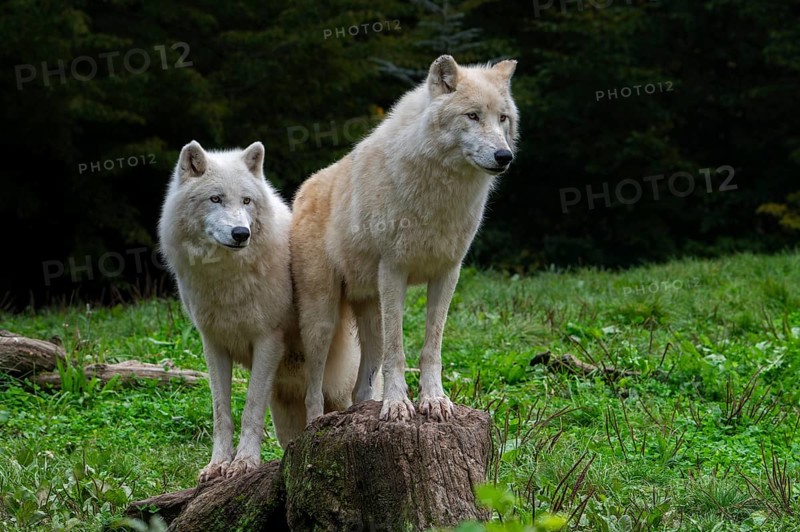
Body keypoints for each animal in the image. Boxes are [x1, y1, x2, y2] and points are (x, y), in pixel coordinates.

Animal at [159, 141, 359, 482]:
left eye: (246, 201)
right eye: (216, 199)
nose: (241, 233)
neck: (226, 279)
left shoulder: (267, 341)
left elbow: (251, 407)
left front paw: (244, 463)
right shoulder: (213, 345)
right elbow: (221, 411)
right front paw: (217, 465)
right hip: (284, 414)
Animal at [291, 55, 519, 424]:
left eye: (503, 119)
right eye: (472, 116)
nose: (505, 156)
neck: (441, 191)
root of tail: (302, 190)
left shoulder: (447, 274)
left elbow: (432, 347)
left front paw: (434, 400)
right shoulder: (393, 271)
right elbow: (396, 351)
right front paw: (398, 404)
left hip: (369, 314)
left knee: (361, 387)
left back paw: (364, 407)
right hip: (321, 322)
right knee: (314, 391)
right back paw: (315, 427)